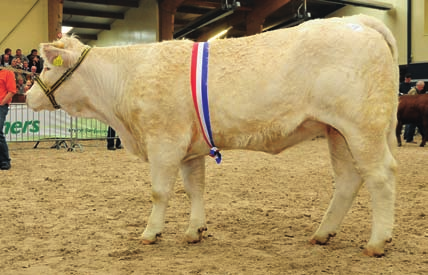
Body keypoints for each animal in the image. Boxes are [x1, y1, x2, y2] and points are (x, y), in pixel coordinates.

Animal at [25, 14, 398, 256]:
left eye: (45, 66)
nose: (28, 96)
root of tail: (359, 21)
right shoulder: (190, 149)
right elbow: (195, 189)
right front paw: (195, 231)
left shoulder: (163, 142)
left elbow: (159, 192)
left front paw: (150, 233)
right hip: (337, 131)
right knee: (348, 179)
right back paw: (321, 234)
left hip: (363, 127)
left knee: (380, 177)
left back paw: (377, 243)